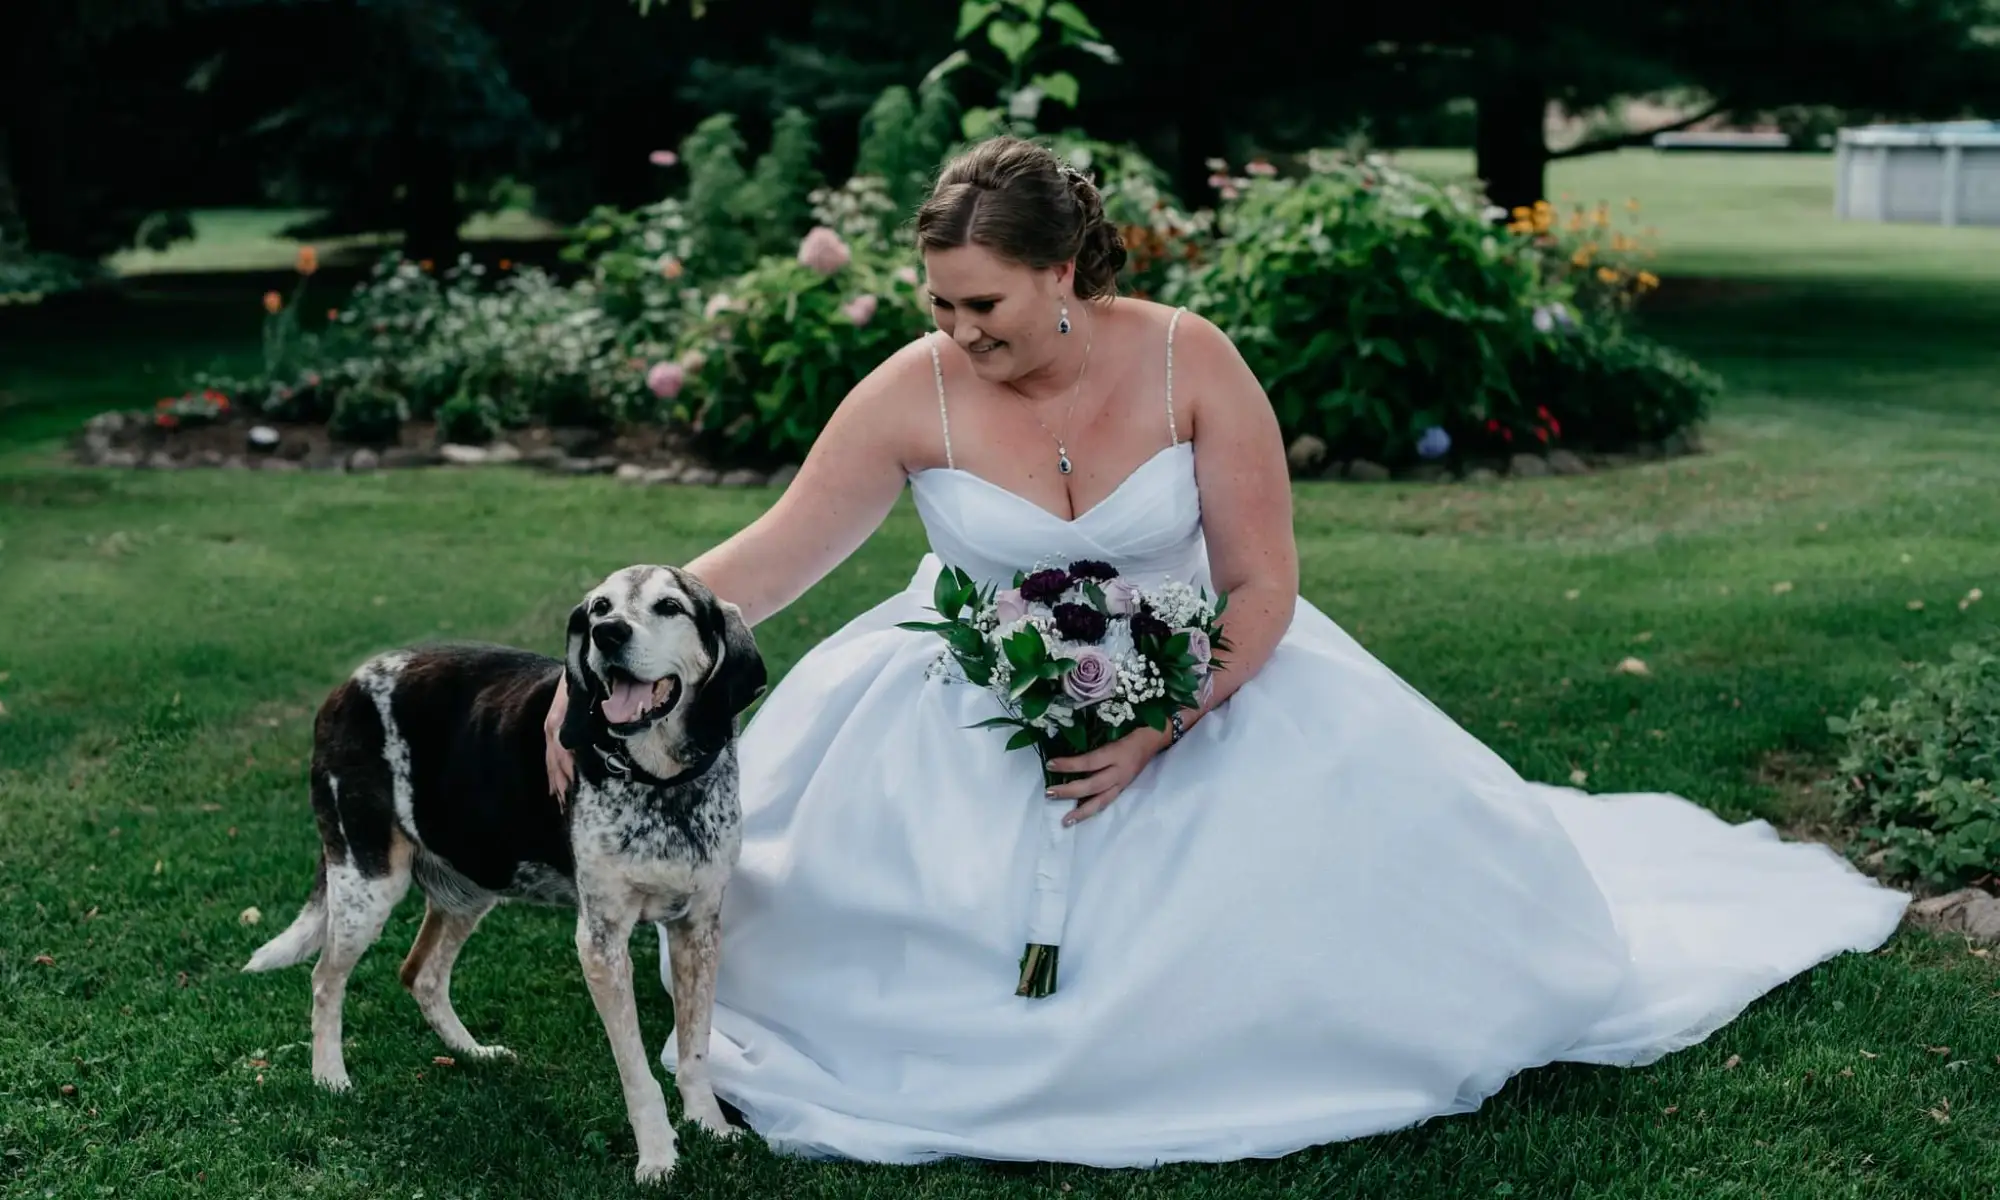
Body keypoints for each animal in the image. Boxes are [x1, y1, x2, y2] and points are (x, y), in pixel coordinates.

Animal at [236, 564, 764, 1184]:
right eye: (600, 607)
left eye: (669, 606)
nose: (607, 633)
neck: (662, 784)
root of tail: (345, 687)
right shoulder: (602, 944)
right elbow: (637, 1073)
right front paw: (658, 1155)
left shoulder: (698, 929)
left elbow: (695, 1050)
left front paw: (710, 1125)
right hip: (367, 881)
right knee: (325, 978)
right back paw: (330, 1076)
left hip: (468, 888)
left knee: (421, 974)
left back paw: (471, 1053)